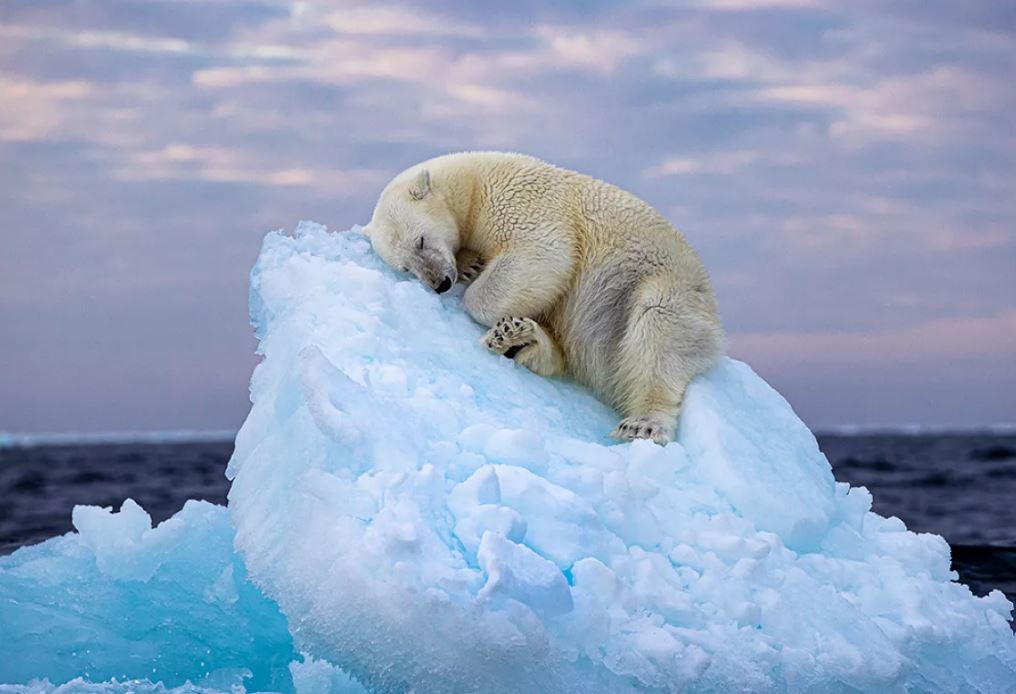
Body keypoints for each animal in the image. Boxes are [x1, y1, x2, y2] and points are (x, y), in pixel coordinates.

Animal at [363, 152, 723, 445]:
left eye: (421, 241)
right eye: (406, 267)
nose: (440, 283)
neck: (473, 183)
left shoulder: (520, 201)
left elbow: (543, 254)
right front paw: (471, 265)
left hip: (660, 285)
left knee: (657, 332)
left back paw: (643, 424)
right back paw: (518, 339)